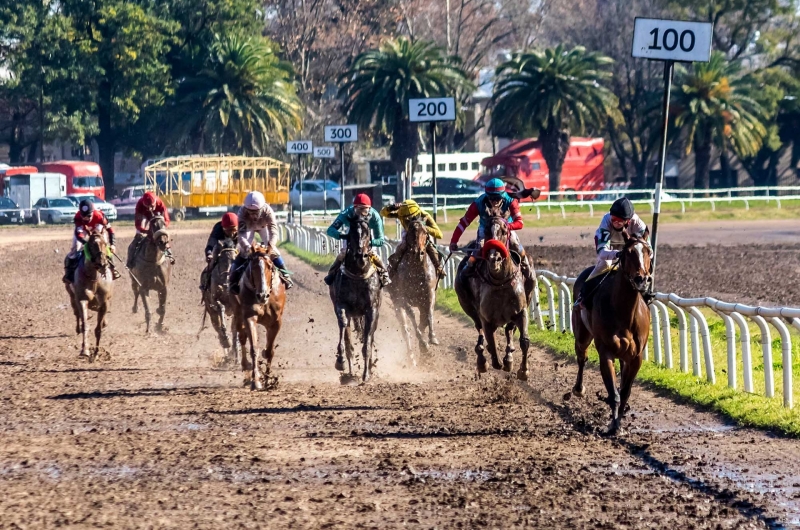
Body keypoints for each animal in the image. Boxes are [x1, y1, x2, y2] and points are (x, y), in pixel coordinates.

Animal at [65, 229, 112, 360]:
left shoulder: (105, 302)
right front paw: (85, 350)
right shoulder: (82, 299)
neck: (94, 278)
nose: (102, 264)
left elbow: (98, 329)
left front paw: (96, 353)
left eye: (105, 243)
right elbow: (85, 324)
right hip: (71, 295)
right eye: (91, 245)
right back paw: (78, 328)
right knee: (77, 313)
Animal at [236, 242, 286, 388]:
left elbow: (269, 351)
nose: (262, 295)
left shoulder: (276, 322)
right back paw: (246, 372)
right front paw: (256, 381)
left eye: (270, 266)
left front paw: (268, 379)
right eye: (253, 267)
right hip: (237, 313)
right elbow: (253, 348)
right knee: (242, 336)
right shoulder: (249, 317)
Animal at [386, 217, 438, 366]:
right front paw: (424, 345)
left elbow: (429, 314)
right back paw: (411, 357)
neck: (415, 271)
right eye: (410, 232)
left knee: (423, 321)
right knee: (405, 329)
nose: (417, 252)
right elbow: (413, 319)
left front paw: (432, 338)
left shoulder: (429, 294)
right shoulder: (402, 298)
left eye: (425, 232)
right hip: (397, 304)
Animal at [454, 216, 536, 380]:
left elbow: (524, 340)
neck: (500, 282)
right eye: (486, 232)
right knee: (479, 332)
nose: (494, 258)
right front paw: (491, 358)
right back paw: (482, 359)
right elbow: (491, 343)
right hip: (467, 304)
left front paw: (523, 371)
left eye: (504, 231)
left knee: (509, 331)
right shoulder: (485, 318)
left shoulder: (521, 311)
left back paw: (508, 358)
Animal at [568, 230, 648, 434]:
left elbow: (625, 392)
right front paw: (613, 425)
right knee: (581, 357)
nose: (641, 279)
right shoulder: (606, 353)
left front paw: (618, 422)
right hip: (582, 334)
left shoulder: (636, 357)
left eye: (648, 252)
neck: (624, 311)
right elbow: (613, 393)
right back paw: (578, 389)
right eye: (628, 252)